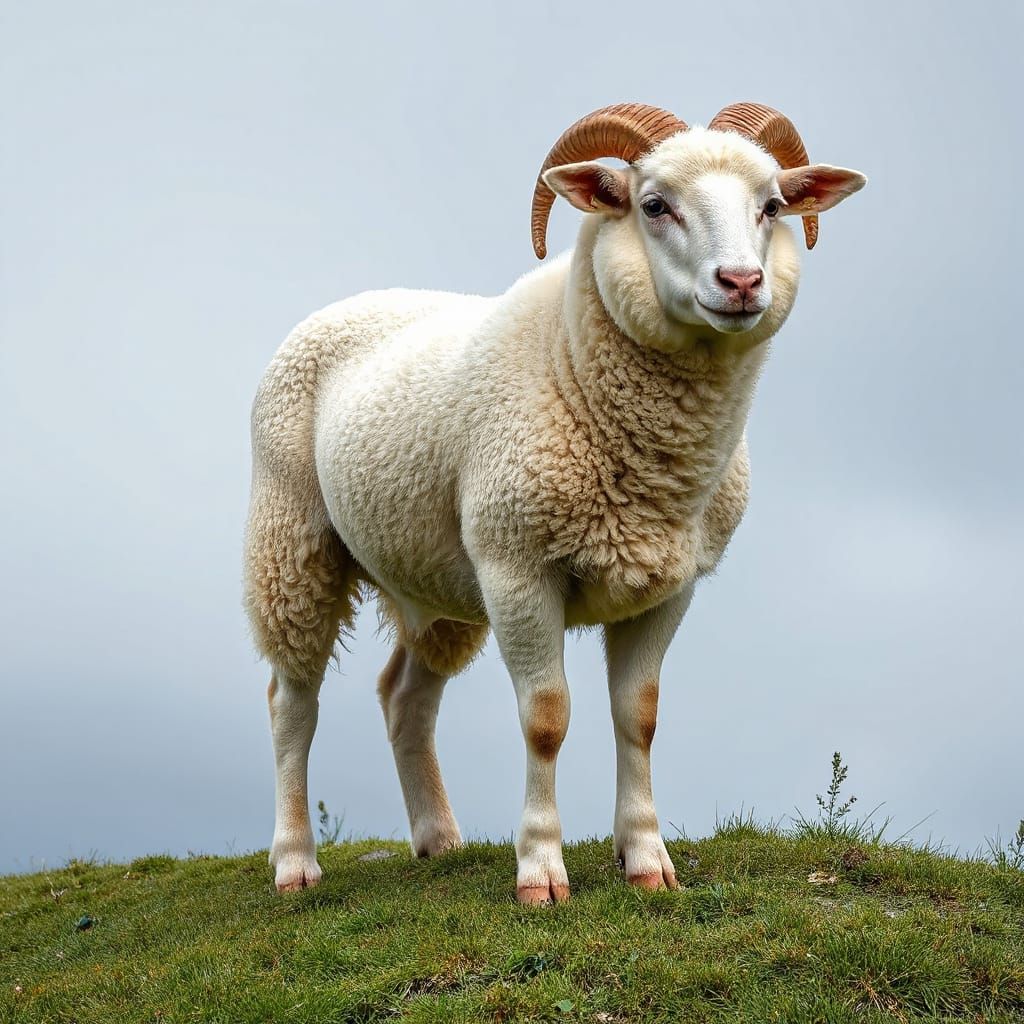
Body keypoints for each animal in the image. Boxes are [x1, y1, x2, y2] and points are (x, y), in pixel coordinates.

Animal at [244, 102, 866, 903]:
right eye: (653, 205)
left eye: (773, 207)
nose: (741, 281)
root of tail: (356, 300)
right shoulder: (518, 571)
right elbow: (546, 718)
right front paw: (541, 871)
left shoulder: (669, 586)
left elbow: (640, 716)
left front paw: (647, 860)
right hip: (293, 544)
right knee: (292, 704)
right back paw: (295, 863)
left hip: (440, 580)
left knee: (405, 698)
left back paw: (437, 839)